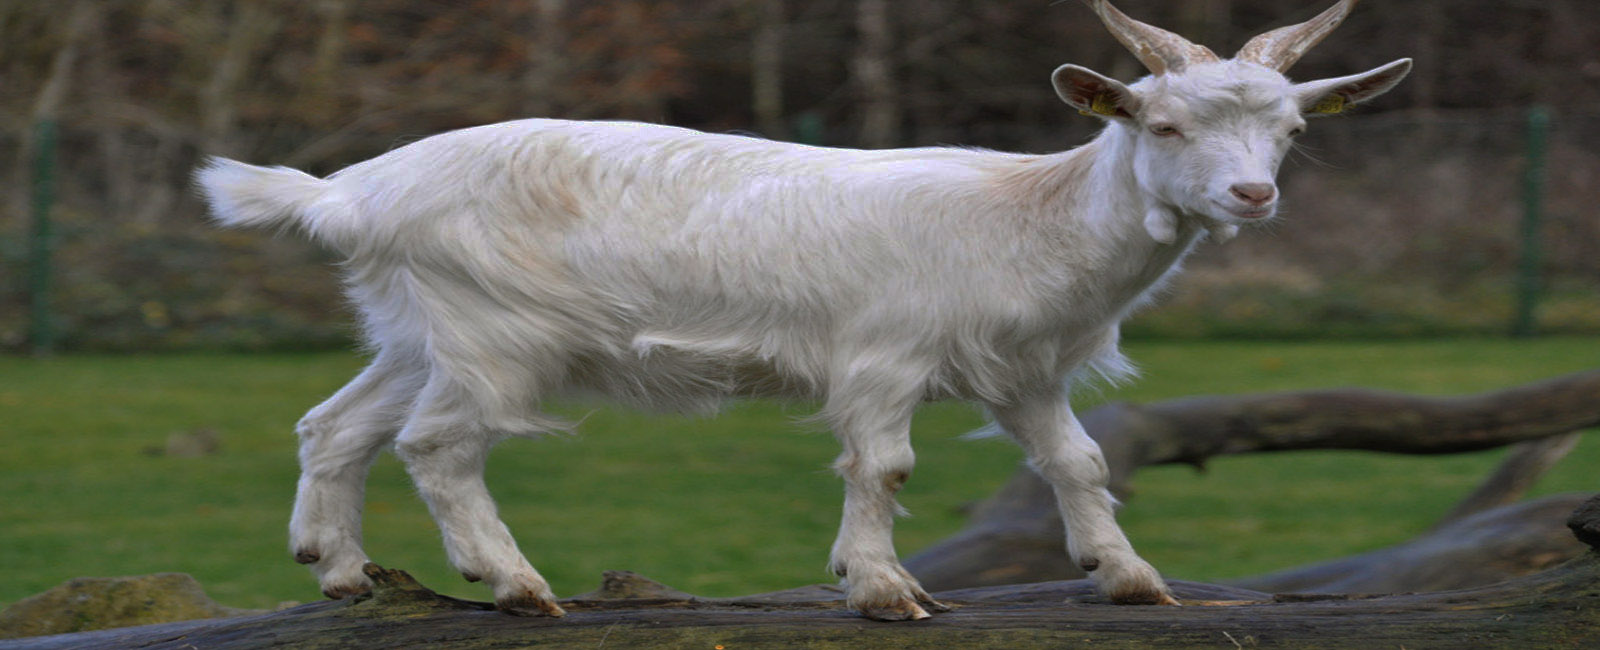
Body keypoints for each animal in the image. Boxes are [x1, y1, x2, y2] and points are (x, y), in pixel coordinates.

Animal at [193, 0, 1408, 617]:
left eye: (1290, 130)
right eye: (1161, 125)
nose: (1252, 196)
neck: (1029, 214)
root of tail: (352, 192)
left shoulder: (1025, 370)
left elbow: (1078, 460)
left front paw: (1126, 574)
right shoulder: (884, 354)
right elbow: (886, 467)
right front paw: (879, 586)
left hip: (417, 328)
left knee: (335, 424)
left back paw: (338, 566)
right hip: (498, 334)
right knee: (438, 445)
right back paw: (517, 583)